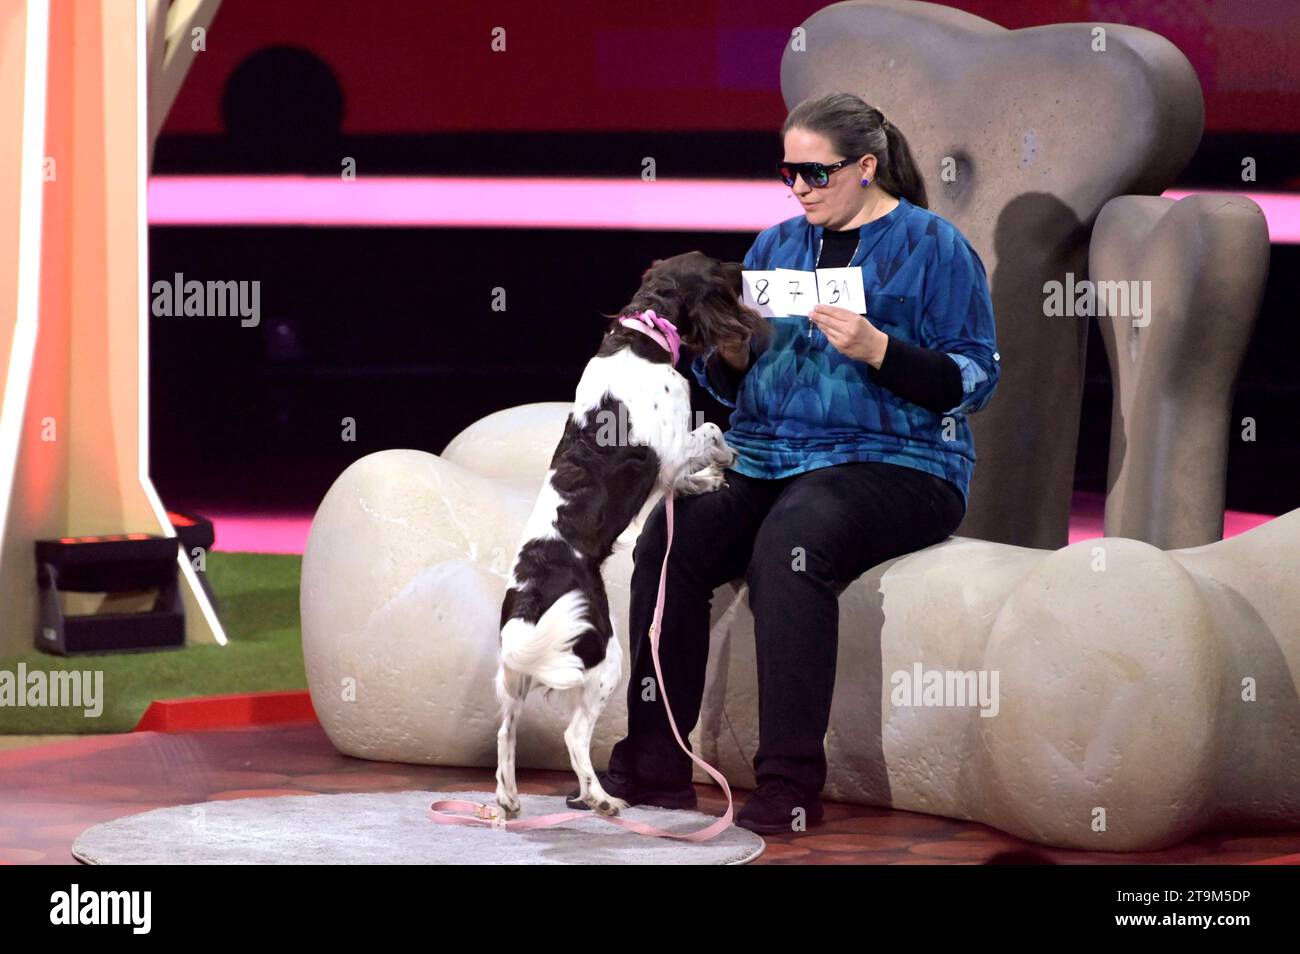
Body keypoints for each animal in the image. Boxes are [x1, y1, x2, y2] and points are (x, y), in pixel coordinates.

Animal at [491, 252, 764, 821]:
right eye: (717, 268)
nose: (744, 265)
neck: (644, 334)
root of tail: (528, 599)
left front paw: (705, 479)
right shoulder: (672, 445)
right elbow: (712, 435)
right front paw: (717, 468)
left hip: (518, 673)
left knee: (505, 730)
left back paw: (508, 798)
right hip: (603, 658)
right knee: (574, 737)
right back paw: (601, 798)